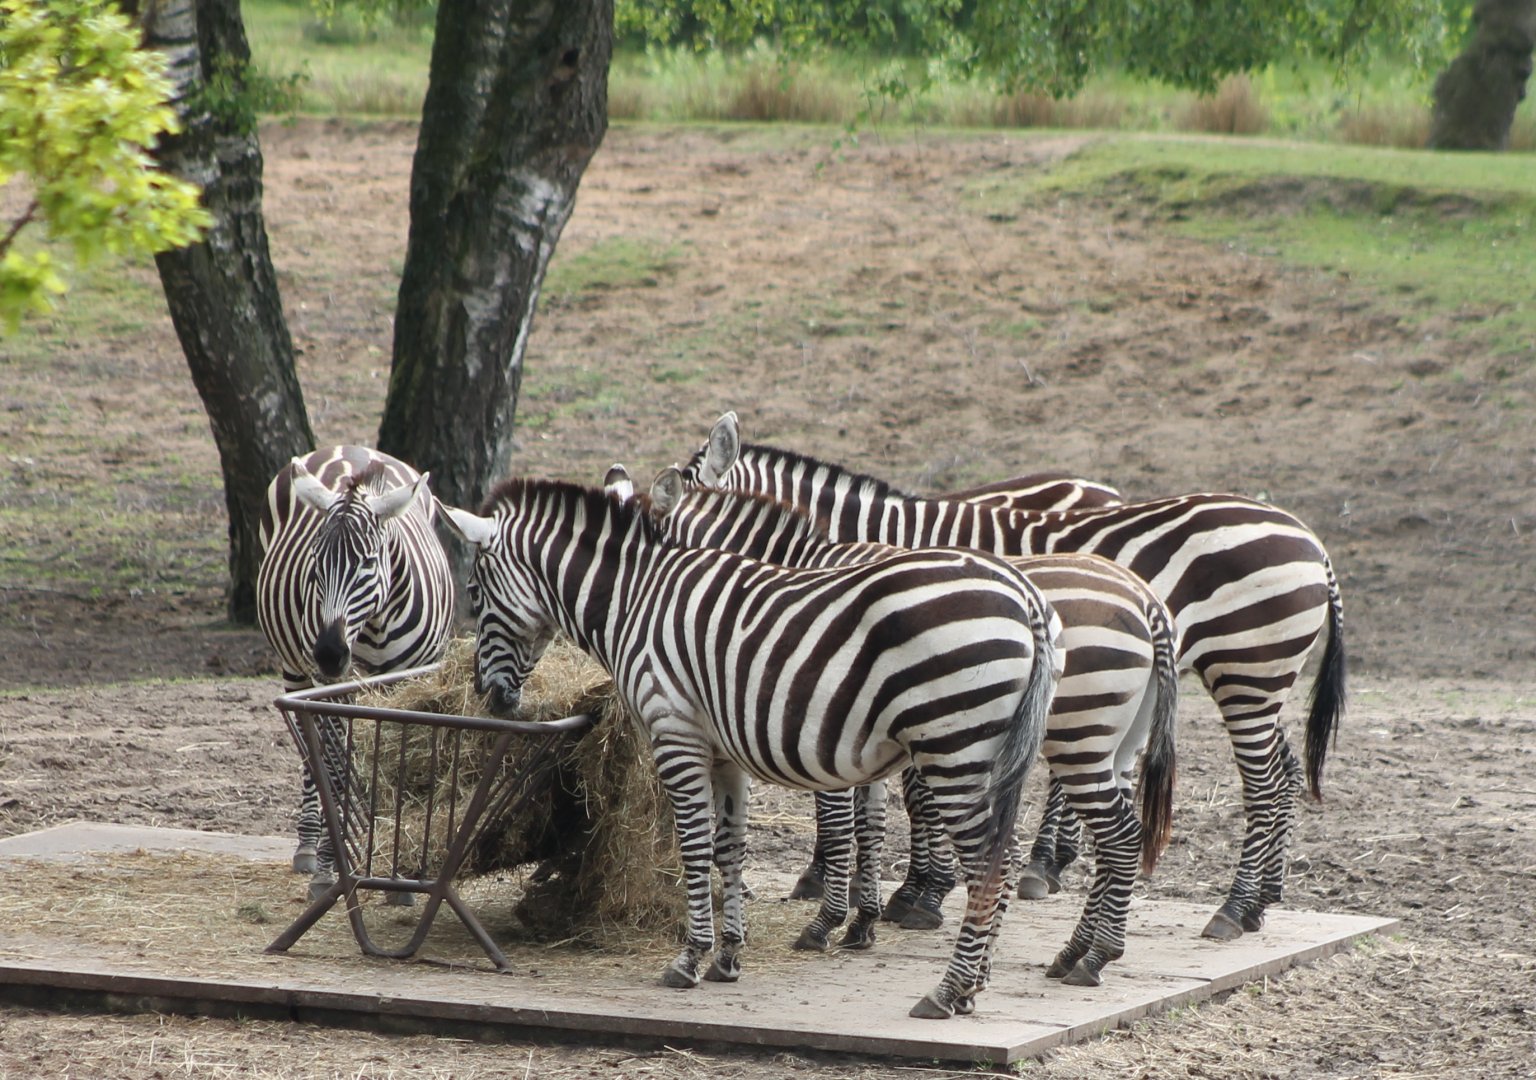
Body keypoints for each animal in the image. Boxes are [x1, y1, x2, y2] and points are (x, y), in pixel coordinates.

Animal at [256, 446, 456, 888]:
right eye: (315, 564)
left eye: (367, 563)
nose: (329, 654)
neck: (378, 622)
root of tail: (346, 449)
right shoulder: (334, 688)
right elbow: (337, 767)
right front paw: (333, 865)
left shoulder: (409, 681)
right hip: (296, 671)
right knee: (314, 755)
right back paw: (310, 846)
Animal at [440, 477, 1060, 1018]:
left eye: (474, 593)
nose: (489, 695)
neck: (635, 599)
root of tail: (1024, 595)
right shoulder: (723, 753)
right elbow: (730, 850)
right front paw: (728, 957)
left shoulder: (675, 733)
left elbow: (694, 848)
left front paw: (689, 959)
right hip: (991, 755)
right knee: (1002, 858)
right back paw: (974, 987)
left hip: (955, 748)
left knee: (988, 863)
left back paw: (947, 991)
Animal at [635, 464, 1178, 986]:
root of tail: (1147, 601)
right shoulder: (860, 735)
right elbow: (874, 822)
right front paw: (869, 914)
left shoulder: (824, 722)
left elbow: (846, 821)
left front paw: (842, 915)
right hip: (1117, 741)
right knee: (1114, 835)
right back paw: (1077, 951)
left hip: (1072, 728)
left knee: (1109, 830)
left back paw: (1077, 939)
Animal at [681, 411, 1347, 942]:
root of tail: (1313, 541)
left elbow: (913, 794)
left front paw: (919, 893)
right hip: (1261, 679)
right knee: (1286, 772)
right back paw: (1261, 902)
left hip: (1245, 672)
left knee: (1263, 782)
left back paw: (1230, 908)